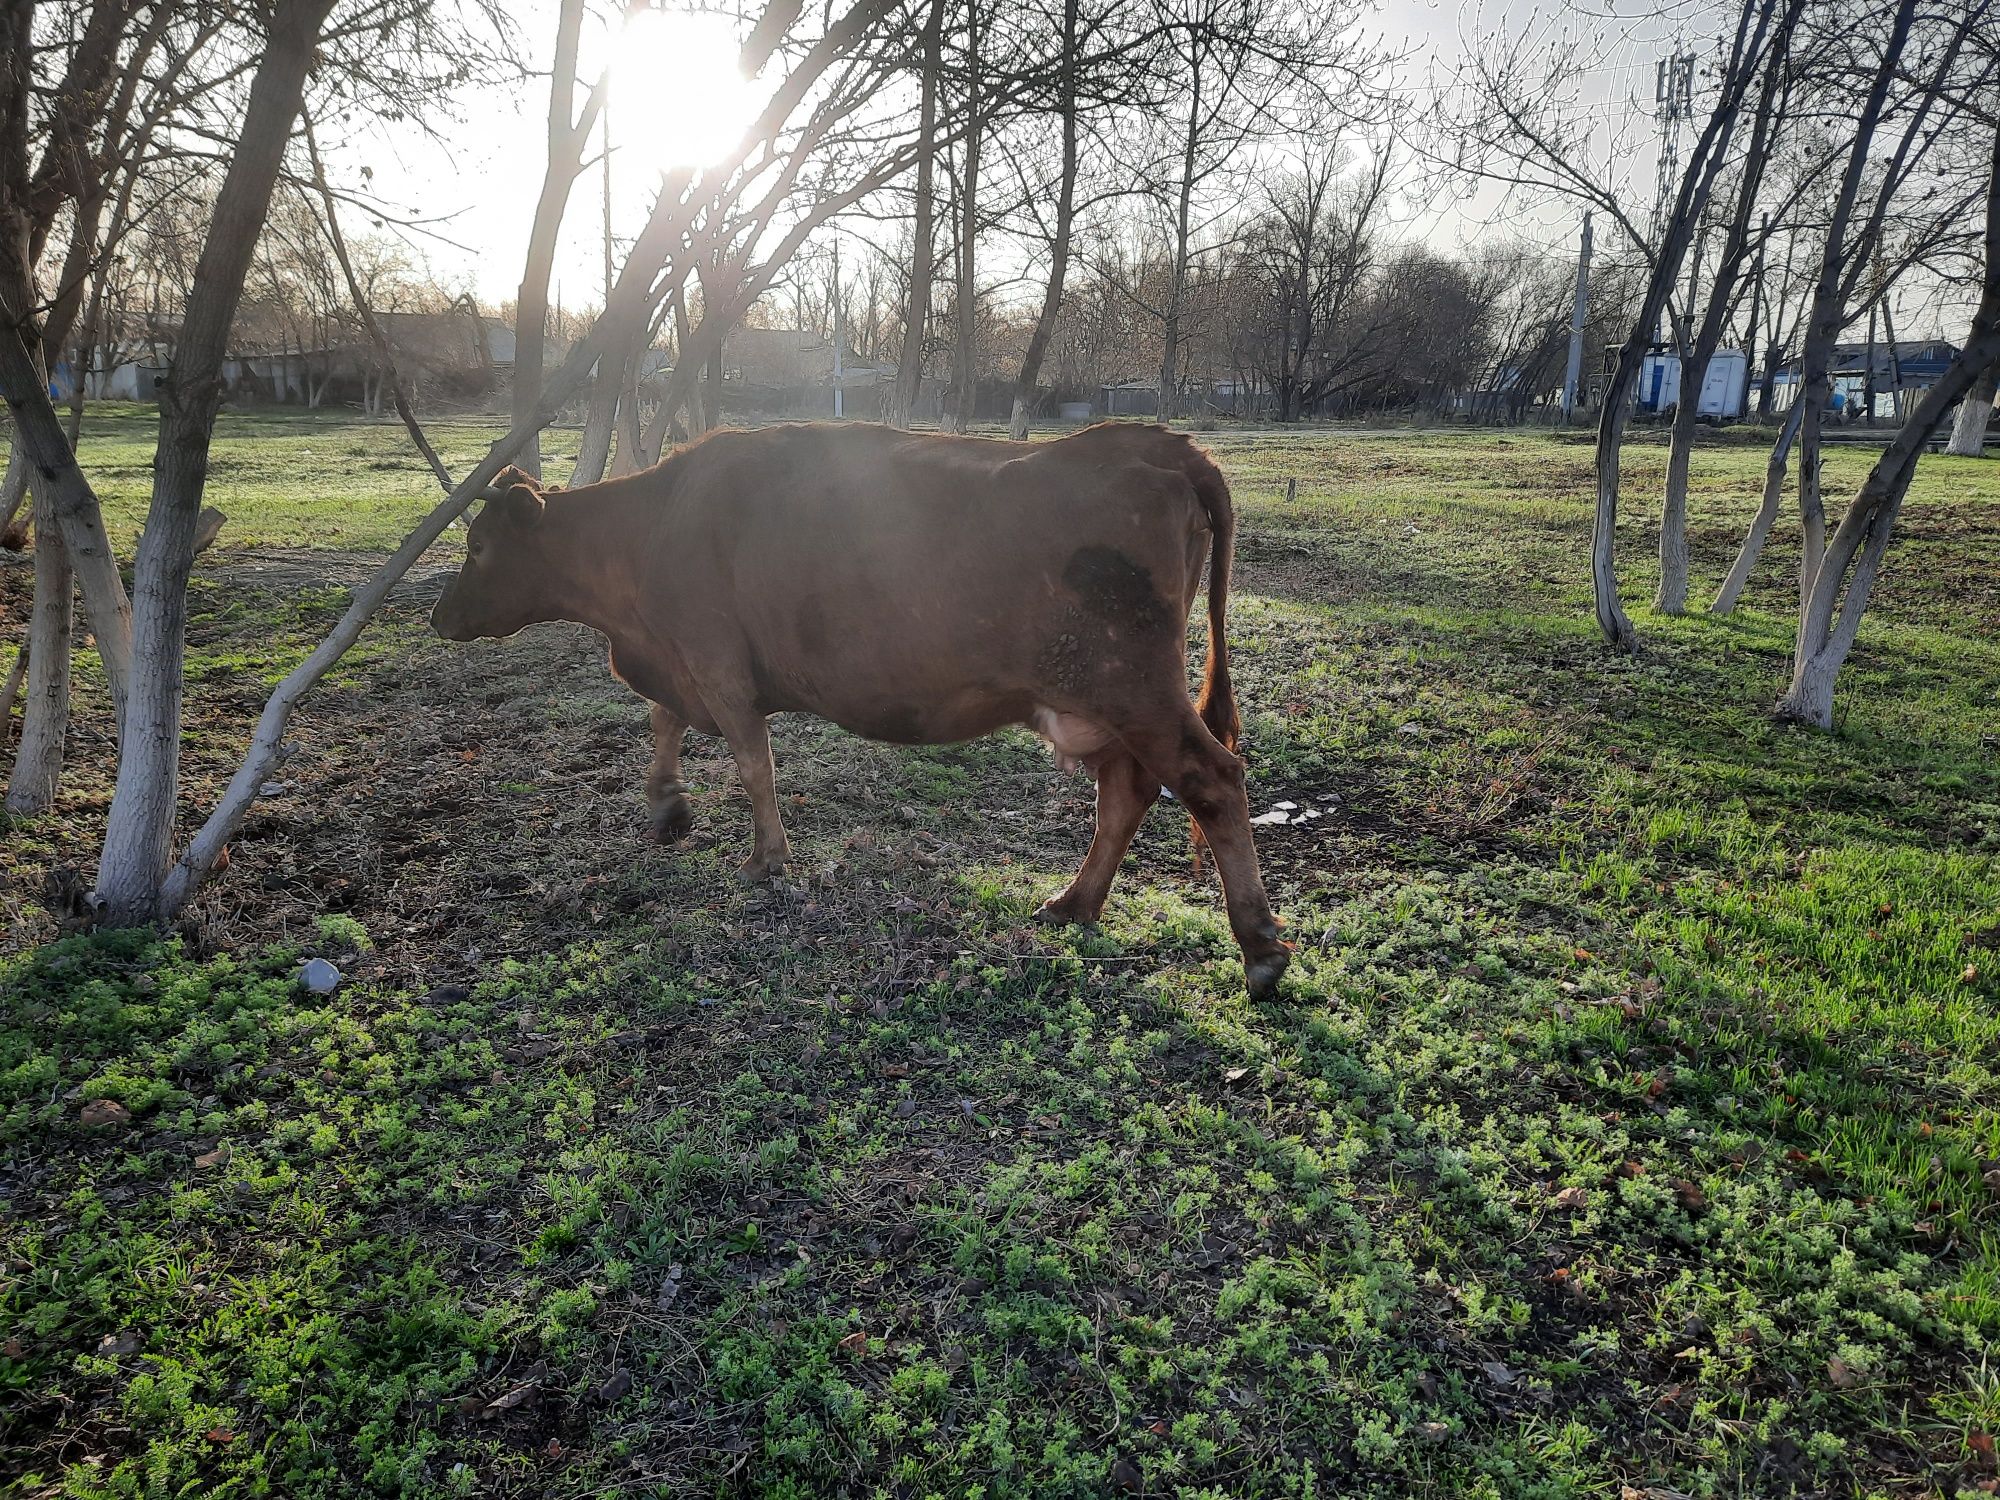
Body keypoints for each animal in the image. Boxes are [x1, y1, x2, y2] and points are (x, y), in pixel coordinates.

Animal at [430, 420, 1288, 1000]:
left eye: (477, 547)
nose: (440, 617)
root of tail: (1152, 442)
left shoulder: (714, 660)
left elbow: (753, 763)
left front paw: (767, 860)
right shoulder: (687, 665)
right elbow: (665, 722)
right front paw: (667, 806)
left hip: (1131, 686)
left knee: (1211, 779)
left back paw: (1260, 951)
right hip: (1098, 699)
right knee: (1127, 792)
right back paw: (1073, 903)